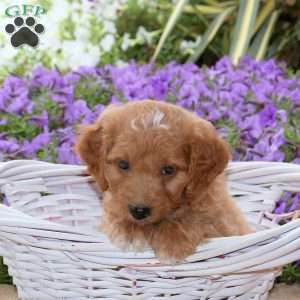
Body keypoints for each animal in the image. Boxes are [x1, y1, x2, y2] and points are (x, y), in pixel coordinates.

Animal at [75, 99, 251, 262]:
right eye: (123, 164)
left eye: (169, 170)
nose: (139, 211)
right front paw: (129, 229)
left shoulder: (223, 222)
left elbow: (196, 218)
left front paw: (172, 240)